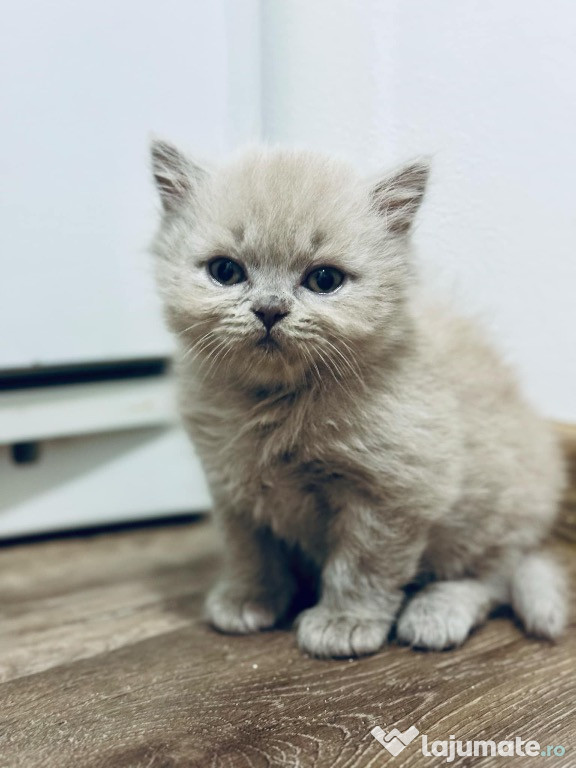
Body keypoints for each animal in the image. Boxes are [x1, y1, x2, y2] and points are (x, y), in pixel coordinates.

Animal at [148, 141, 568, 656]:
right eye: (225, 271)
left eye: (324, 280)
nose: (269, 309)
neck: (279, 401)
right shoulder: (231, 484)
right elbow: (249, 549)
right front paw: (249, 599)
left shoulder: (395, 491)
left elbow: (362, 566)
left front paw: (343, 623)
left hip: (491, 513)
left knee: (494, 578)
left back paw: (436, 612)